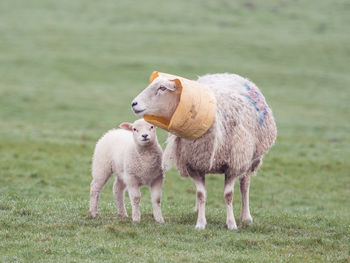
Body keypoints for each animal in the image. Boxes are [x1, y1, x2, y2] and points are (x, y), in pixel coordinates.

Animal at [131, 73, 276, 230]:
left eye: (162, 88)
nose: (134, 103)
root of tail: (226, 74)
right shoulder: (193, 165)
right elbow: (201, 194)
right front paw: (200, 223)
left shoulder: (232, 165)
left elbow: (228, 195)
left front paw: (231, 223)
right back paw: (196, 211)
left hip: (249, 159)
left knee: (245, 185)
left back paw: (246, 217)